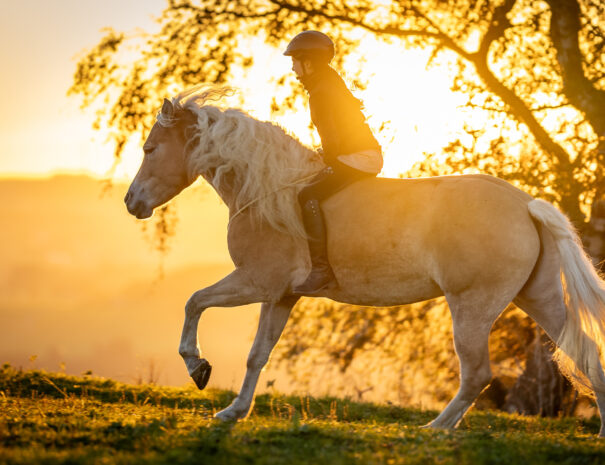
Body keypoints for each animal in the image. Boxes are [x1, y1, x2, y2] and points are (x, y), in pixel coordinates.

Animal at [124, 88, 605, 436]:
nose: (132, 203)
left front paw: (198, 367)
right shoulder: (281, 296)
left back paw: (436, 428)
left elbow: (194, 302)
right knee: (586, 353)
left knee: (477, 374)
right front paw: (233, 412)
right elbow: (257, 355)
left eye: (150, 148)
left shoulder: (254, 282)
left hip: (472, 306)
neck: (268, 192)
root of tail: (525, 205)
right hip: (537, 298)